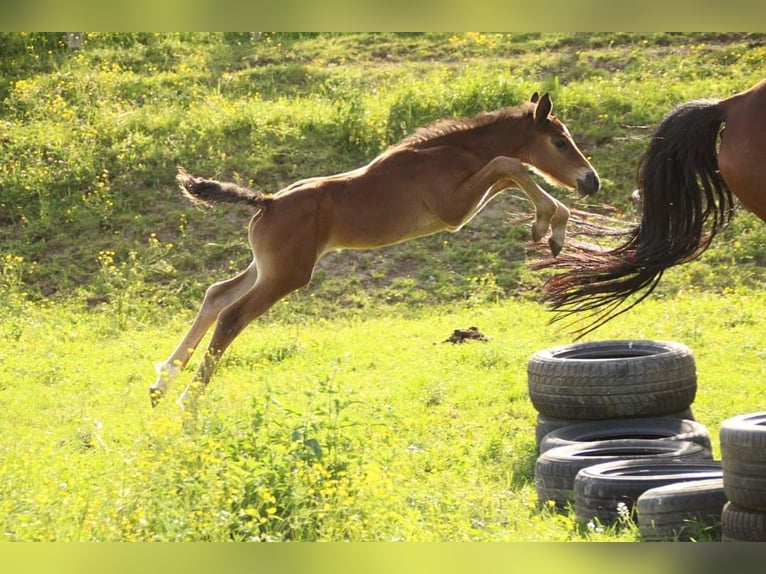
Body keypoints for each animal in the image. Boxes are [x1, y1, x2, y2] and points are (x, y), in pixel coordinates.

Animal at [150, 92, 600, 410]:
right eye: (560, 142)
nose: (591, 181)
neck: (452, 153)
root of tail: (268, 202)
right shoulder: (453, 210)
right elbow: (510, 164)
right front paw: (550, 225)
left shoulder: (466, 201)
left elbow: (509, 172)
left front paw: (552, 226)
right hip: (286, 275)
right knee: (231, 315)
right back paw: (187, 401)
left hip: (266, 267)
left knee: (216, 294)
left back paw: (161, 383)